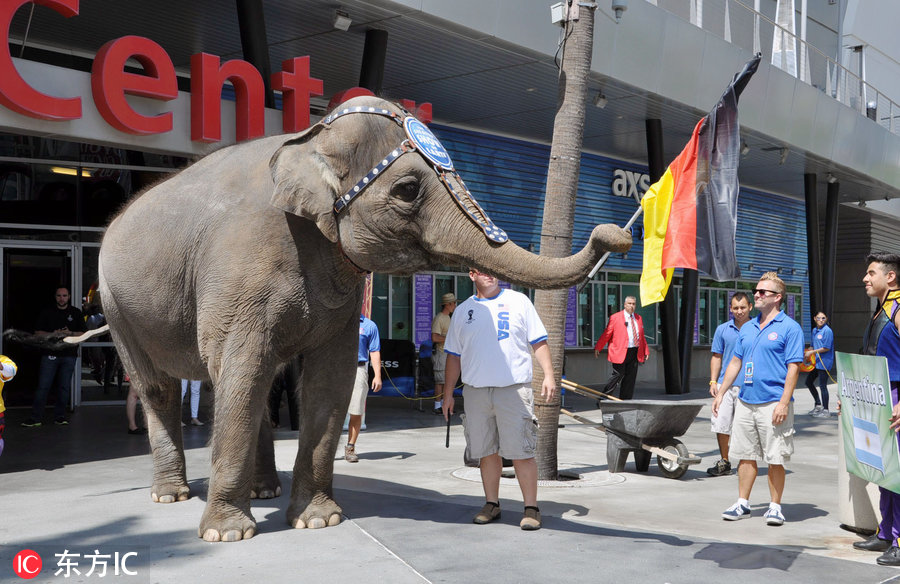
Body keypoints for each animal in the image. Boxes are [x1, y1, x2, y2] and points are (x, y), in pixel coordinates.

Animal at [96, 96, 632, 544]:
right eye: (409, 189)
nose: (616, 235)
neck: (308, 139)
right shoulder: (237, 270)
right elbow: (244, 371)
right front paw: (227, 536)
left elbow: (330, 381)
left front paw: (319, 521)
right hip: (115, 302)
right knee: (164, 387)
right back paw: (172, 495)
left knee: (244, 385)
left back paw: (264, 491)